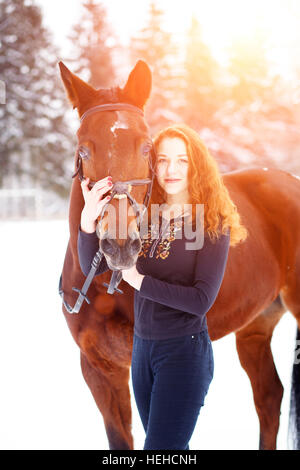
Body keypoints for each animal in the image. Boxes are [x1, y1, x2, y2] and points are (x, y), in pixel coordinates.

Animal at [58, 59, 300, 452]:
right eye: (84, 149)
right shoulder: (99, 370)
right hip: (255, 325)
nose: (120, 246)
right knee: (268, 397)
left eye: (146, 147)